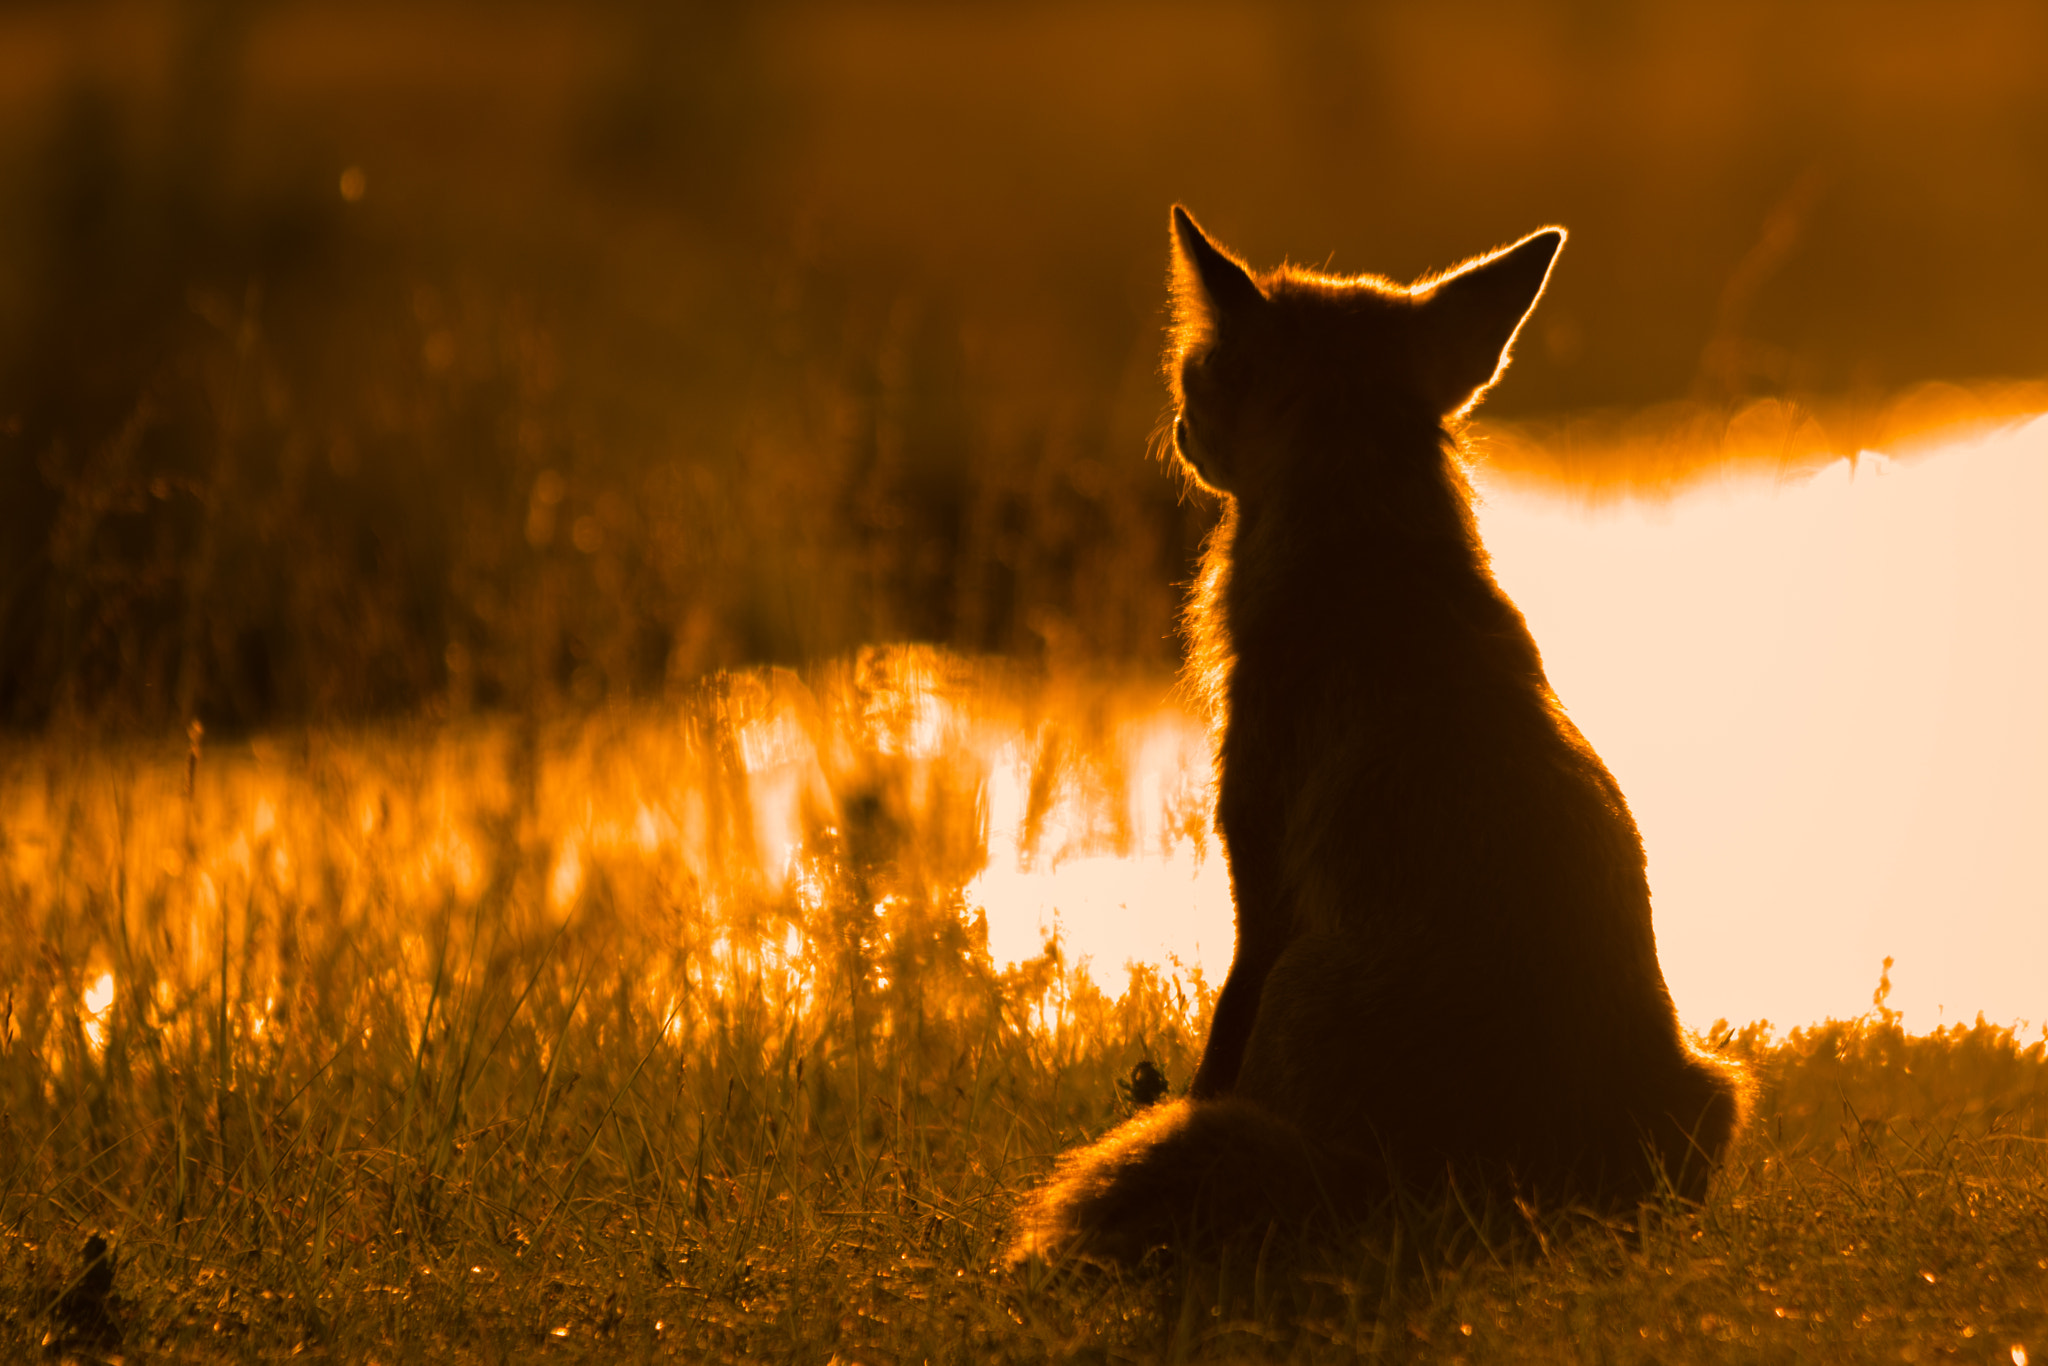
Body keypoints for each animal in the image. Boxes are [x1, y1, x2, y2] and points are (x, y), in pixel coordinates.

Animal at [1009, 208, 1747, 1266]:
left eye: (1196, 375)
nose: (1178, 428)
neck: (1366, 554)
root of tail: (1508, 1198)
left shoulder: (1261, 888)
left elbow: (1211, 1060)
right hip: (1715, 1084)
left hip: (1300, 987)